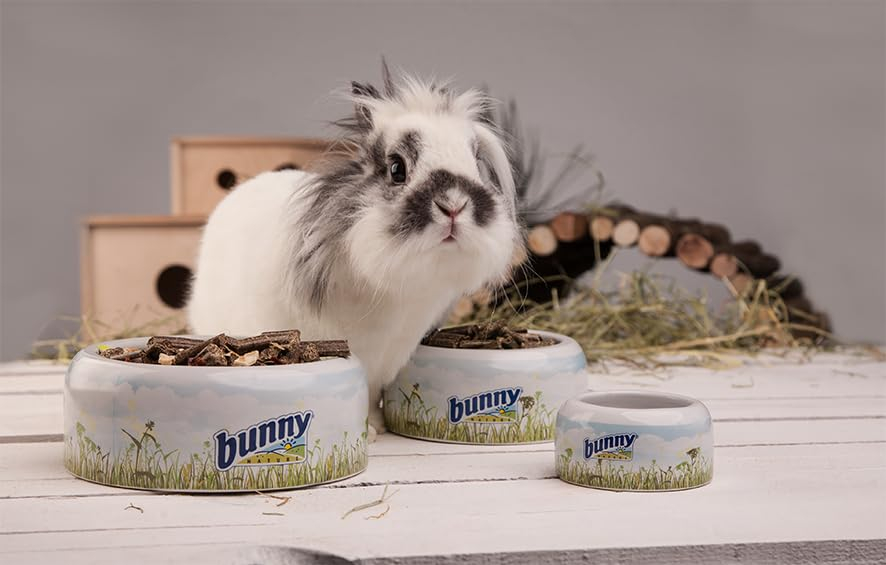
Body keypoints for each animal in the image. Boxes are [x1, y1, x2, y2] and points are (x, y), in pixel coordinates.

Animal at [187, 65, 523, 436]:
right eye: (396, 168)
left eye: (475, 164)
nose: (454, 205)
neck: (396, 287)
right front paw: (371, 434)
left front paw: (376, 427)